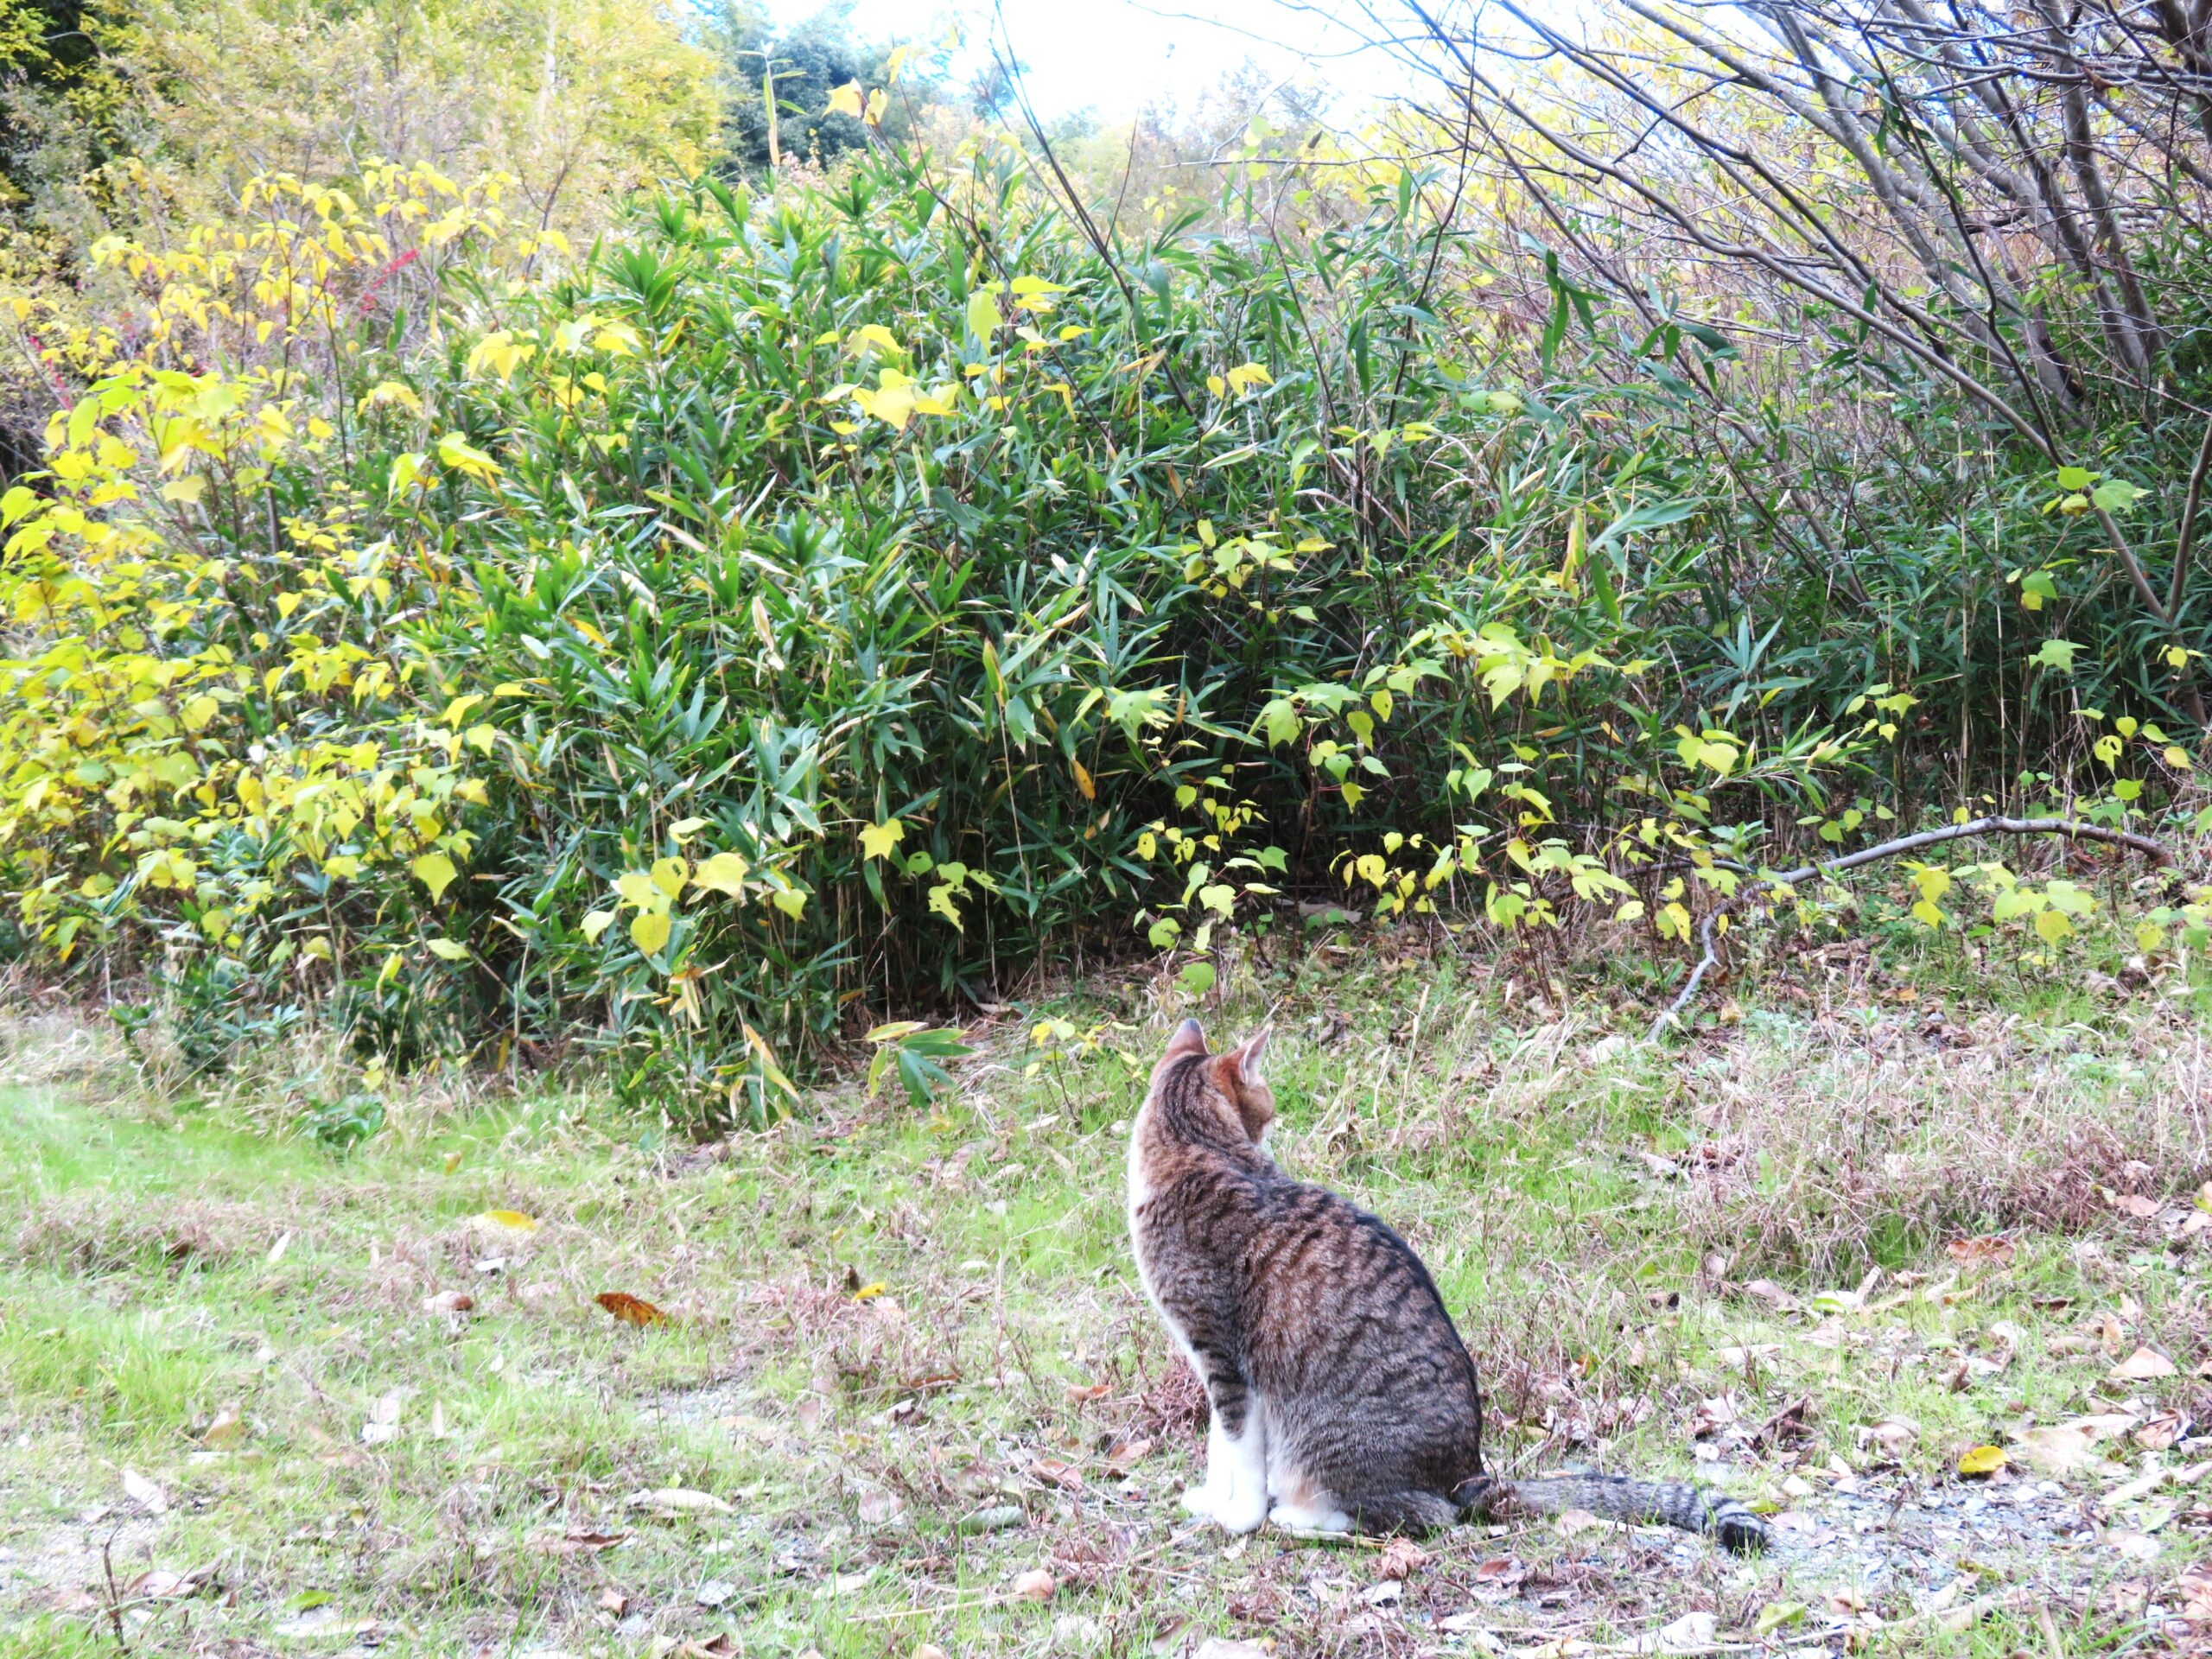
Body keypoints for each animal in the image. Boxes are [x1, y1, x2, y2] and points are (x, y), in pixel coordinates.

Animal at [1132, 1021, 1770, 1557]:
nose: (1269, 1138)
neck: (1199, 1146)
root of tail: (1471, 1473)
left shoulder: (1223, 1356)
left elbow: (1237, 1448)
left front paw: (1237, 1515)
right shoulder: (1211, 1360)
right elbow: (1221, 1448)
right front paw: (1217, 1498)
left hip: (1323, 1443)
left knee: (1422, 1514)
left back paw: (1302, 1517)